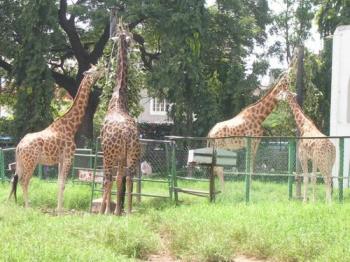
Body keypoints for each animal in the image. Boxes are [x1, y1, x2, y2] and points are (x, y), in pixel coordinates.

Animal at [8, 64, 102, 212]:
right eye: (96, 70)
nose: (103, 69)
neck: (71, 127)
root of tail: (18, 146)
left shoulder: (60, 160)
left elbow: (58, 183)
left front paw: (58, 209)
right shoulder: (68, 157)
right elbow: (63, 184)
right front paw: (60, 211)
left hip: (20, 163)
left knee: (14, 180)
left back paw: (10, 205)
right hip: (31, 162)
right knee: (24, 181)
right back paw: (28, 207)